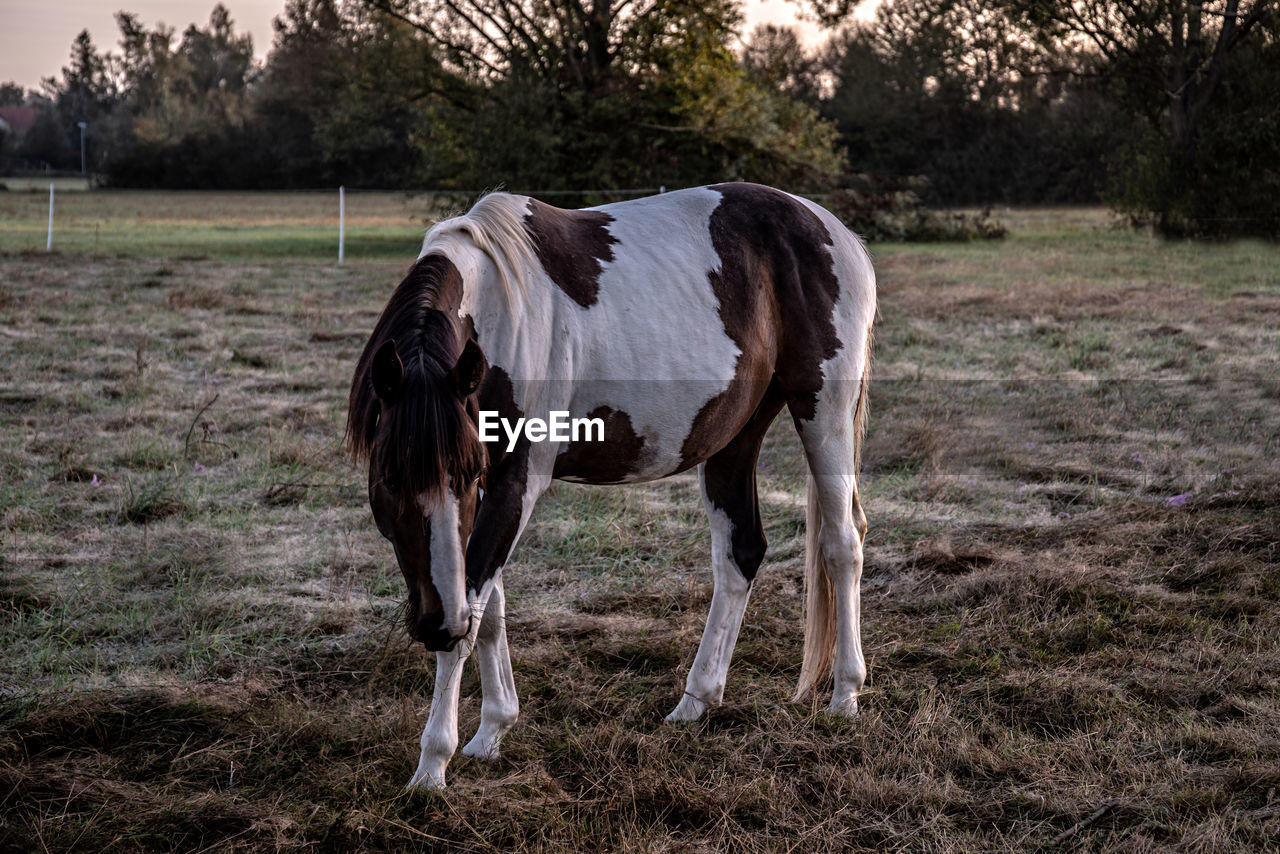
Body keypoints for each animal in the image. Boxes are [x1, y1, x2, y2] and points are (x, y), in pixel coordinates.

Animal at [345, 184, 875, 793]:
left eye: (462, 474)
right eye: (390, 478)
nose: (436, 625)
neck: (499, 309)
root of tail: (833, 230)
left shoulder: (512, 485)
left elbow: (476, 603)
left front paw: (433, 765)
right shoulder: (491, 495)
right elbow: (488, 606)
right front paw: (491, 731)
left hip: (823, 413)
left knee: (841, 544)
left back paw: (845, 696)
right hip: (734, 436)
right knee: (741, 553)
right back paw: (696, 701)